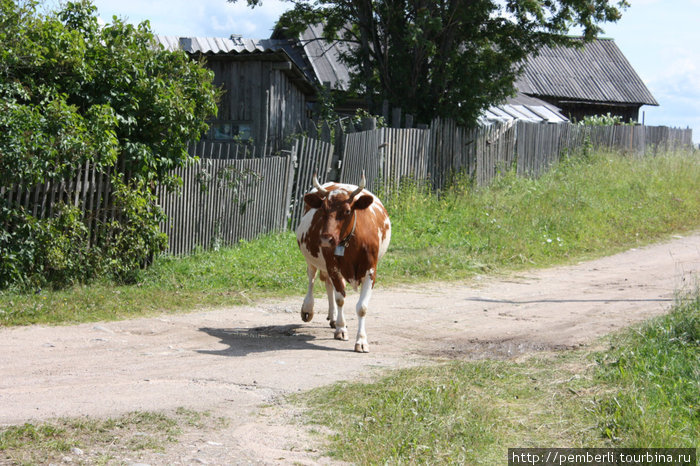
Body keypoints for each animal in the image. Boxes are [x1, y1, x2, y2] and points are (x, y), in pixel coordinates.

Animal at [296, 174, 392, 354]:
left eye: (347, 211)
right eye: (323, 209)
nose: (326, 238)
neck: (350, 242)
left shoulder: (371, 270)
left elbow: (362, 307)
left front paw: (361, 340)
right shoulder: (333, 266)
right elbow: (340, 298)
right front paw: (341, 329)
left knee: (327, 285)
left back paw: (333, 317)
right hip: (312, 259)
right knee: (312, 279)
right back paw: (308, 309)